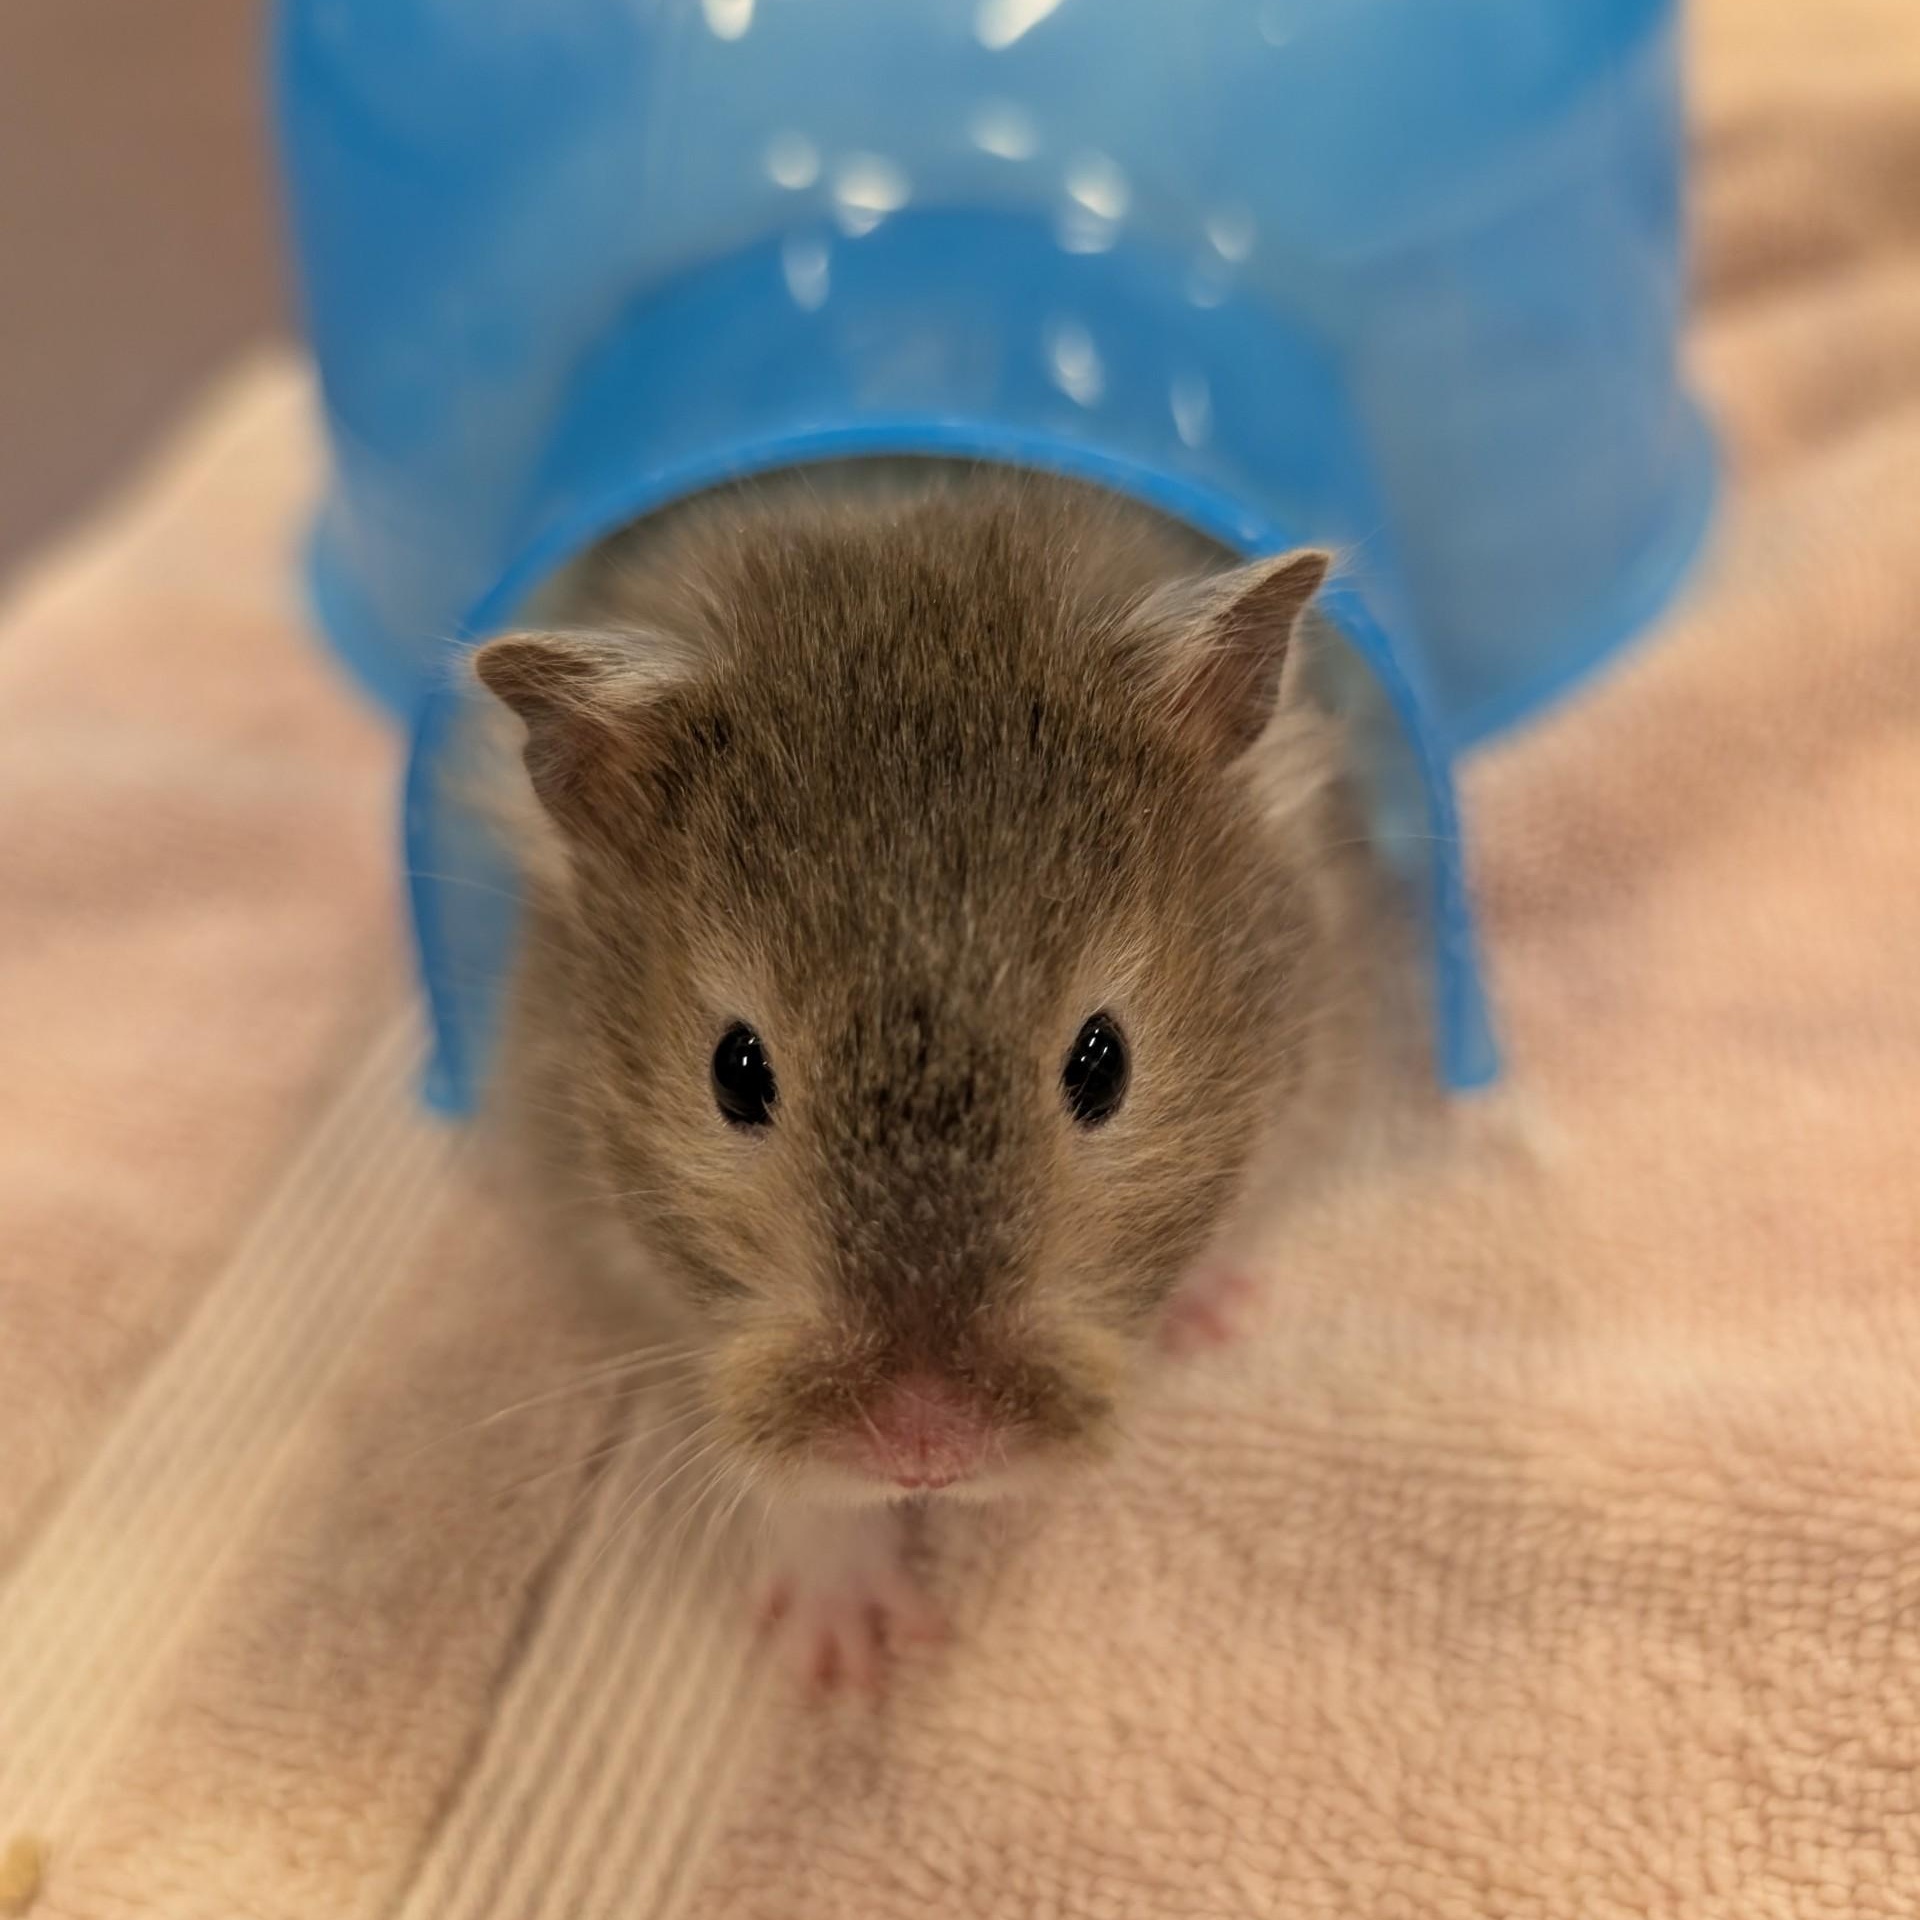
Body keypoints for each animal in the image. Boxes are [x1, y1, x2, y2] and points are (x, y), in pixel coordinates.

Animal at [466, 463, 1392, 1688]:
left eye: (1104, 1063)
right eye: (736, 1073)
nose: (925, 1447)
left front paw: (1215, 1313)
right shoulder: (631, 1280)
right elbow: (796, 1491)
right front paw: (853, 1659)